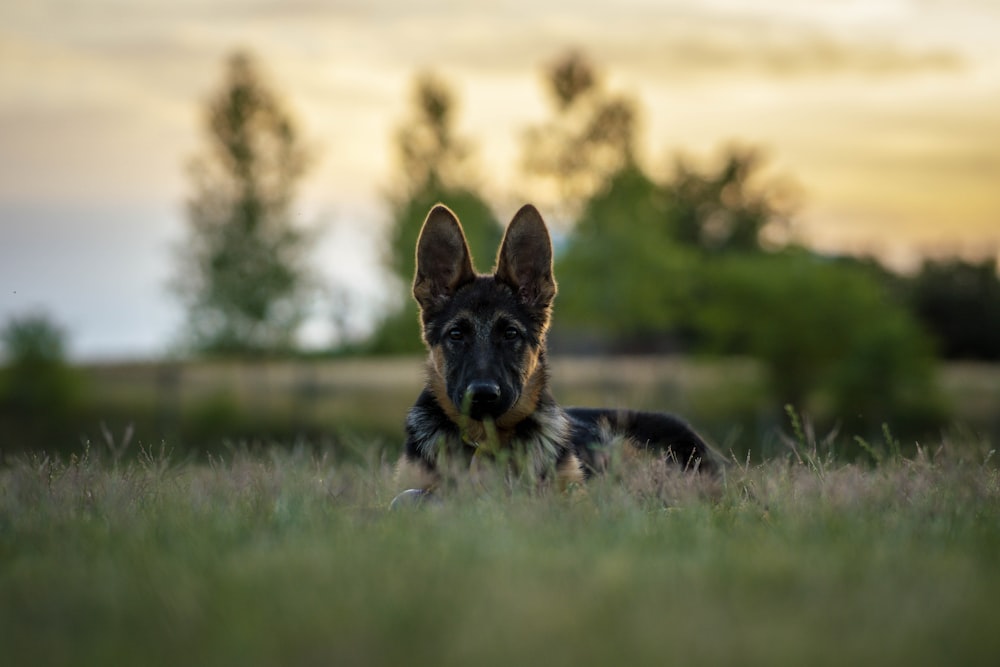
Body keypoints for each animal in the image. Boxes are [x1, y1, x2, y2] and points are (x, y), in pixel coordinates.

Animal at [392, 204, 720, 500]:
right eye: (456, 335)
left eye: (510, 334)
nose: (483, 394)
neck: (485, 439)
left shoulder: (575, 492)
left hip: (620, 443)